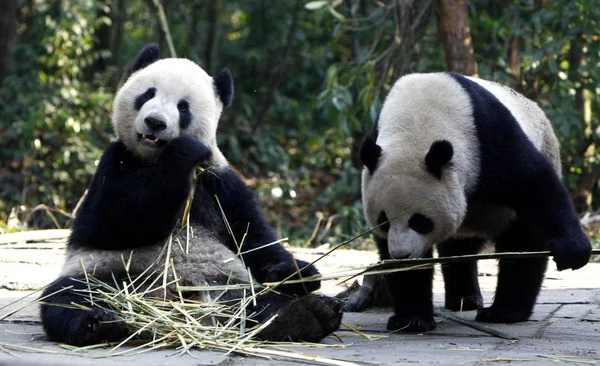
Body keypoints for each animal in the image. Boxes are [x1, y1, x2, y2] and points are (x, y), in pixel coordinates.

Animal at [39, 44, 342, 348]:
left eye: (182, 107)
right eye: (148, 94)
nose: (154, 122)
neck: (153, 159)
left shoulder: (220, 182)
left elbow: (254, 237)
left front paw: (297, 273)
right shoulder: (115, 161)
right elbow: (111, 221)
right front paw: (184, 150)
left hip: (228, 284)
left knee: (260, 303)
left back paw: (305, 316)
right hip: (110, 274)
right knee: (70, 296)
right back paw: (96, 323)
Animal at [358, 71, 592, 332]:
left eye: (419, 221)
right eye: (384, 221)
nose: (402, 254)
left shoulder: (486, 138)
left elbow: (534, 183)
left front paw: (572, 251)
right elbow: (404, 268)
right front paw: (412, 318)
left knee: (522, 245)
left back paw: (504, 312)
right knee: (459, 250)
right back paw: (464, 299)